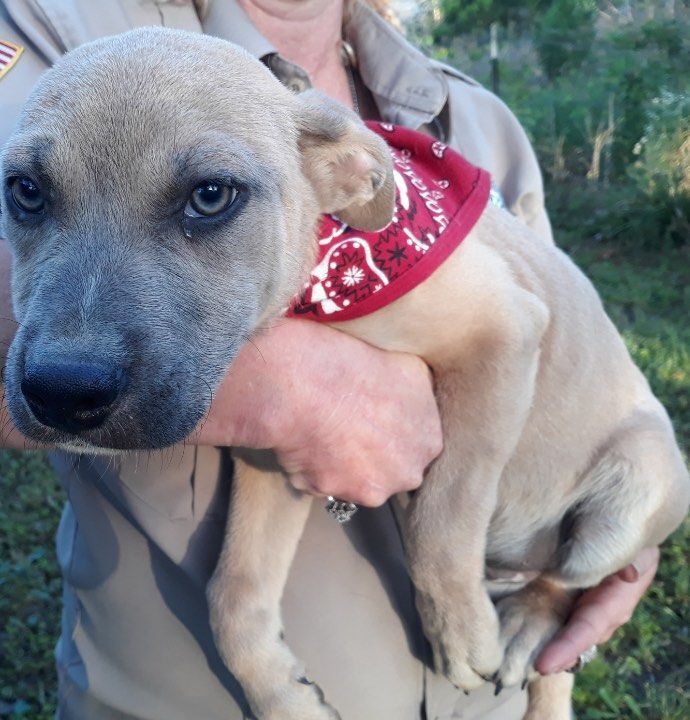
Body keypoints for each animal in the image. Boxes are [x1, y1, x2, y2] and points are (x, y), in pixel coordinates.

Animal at [1, 26, 688, 720]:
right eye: (25, 191)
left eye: (211, 196)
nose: (62, 392)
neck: (327, 259)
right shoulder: (276, 456)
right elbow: (233, 589)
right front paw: (284, 695)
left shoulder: (503, 331)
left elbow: (445, 514)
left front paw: (461, 634)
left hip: (634, 494)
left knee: (571, 583)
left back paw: (523, 623)